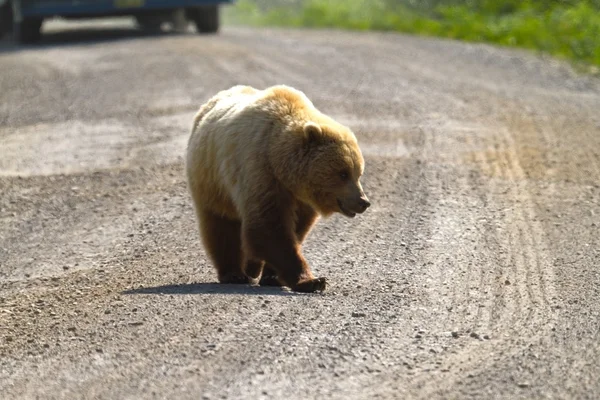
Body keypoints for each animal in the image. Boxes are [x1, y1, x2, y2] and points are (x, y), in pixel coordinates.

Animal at [185, 84, 370, 292]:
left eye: (358, 173)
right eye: (343, 173)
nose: (363, 201)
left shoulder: (301, 199)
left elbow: (295, 229)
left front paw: (273, 276)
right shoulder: (261, 173)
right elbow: (269, 228)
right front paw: (312, 281)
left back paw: (252, 267)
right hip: (212, 182)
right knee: (221, 227)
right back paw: (234, 273)